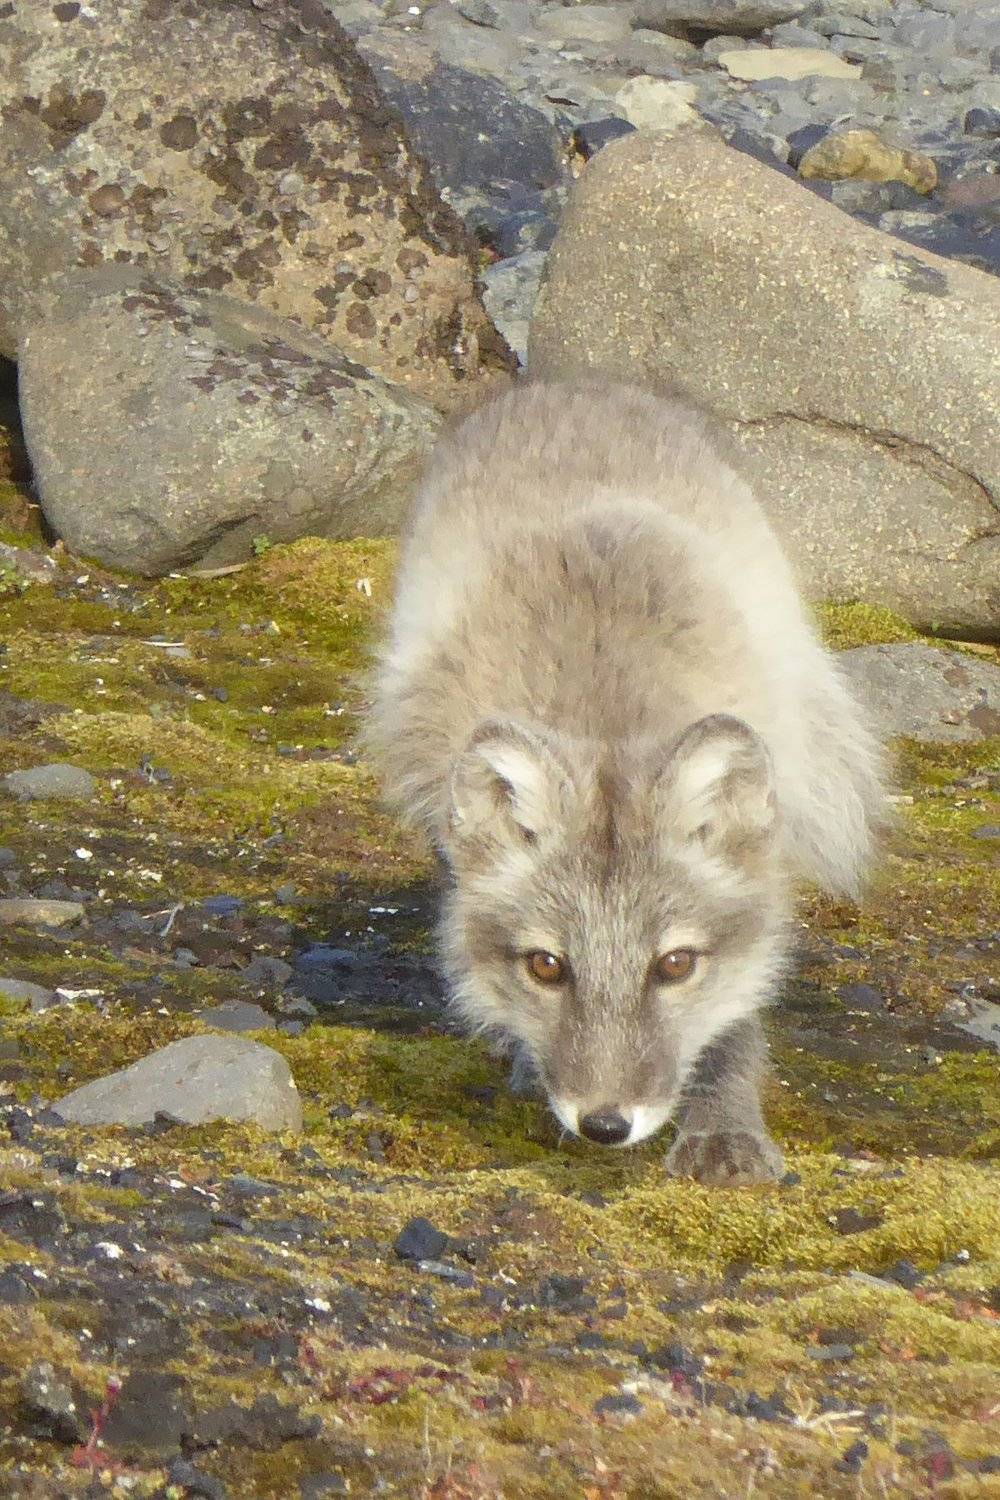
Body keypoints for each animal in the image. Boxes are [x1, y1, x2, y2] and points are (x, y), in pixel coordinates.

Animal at [365, 379, 887, 1184]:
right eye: (547, 966)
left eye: (674, 965)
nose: (605, 1125)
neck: (607, 711)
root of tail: (580, 384)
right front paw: (526, 1057)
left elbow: (737, 1007)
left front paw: (724, 1124)